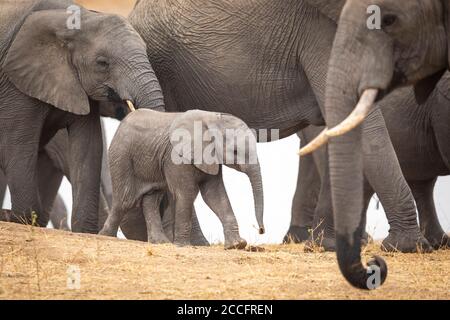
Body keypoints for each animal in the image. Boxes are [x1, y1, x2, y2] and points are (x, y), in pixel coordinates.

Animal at [0, 0, 165, 231]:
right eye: (103, 63)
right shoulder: (14, 83)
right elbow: (18, 143)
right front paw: (17, 218)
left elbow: (89, 146)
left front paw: (85, 231)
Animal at [99, 109, 264, 249]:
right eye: (235, 151)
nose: (261, 230)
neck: (211, 119)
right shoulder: (176, 156)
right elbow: (187, 193)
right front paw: (184, 246)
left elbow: (215, 195)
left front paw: (237, 245)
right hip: (122, 156)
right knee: (125, 200)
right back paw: (105, 236)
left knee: (152, 199)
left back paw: (161, 242)